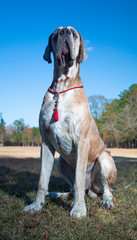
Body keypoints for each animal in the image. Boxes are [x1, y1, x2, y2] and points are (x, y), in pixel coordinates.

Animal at [23, 26, 116, 218]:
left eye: (73, 33)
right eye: (56, 34)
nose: (65, 32)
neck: (62, 88)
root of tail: (92, 189)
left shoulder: (81, 141)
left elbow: (79, 180)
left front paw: (79, 209)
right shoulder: (46, 143)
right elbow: (42, 180)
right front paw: (36, 205)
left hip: (105, 158)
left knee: (104, 189)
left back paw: (106, 200)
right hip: (61, 163)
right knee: (73, 187)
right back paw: (59, 194)